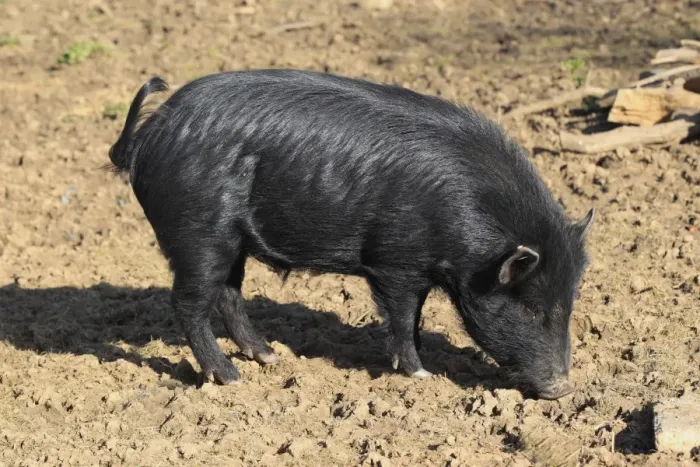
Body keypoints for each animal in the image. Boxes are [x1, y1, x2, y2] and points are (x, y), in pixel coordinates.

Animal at [107, 69, 593, 400]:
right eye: (531, 309)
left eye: (569, 304)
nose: (565, 389)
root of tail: (144, 139)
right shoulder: (397, 261)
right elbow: (403, 317)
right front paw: (422, 375)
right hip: (198, 234)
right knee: (189, 303)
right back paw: (230, 377)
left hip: (231, 241)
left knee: (228, 294)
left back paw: (269, 356)